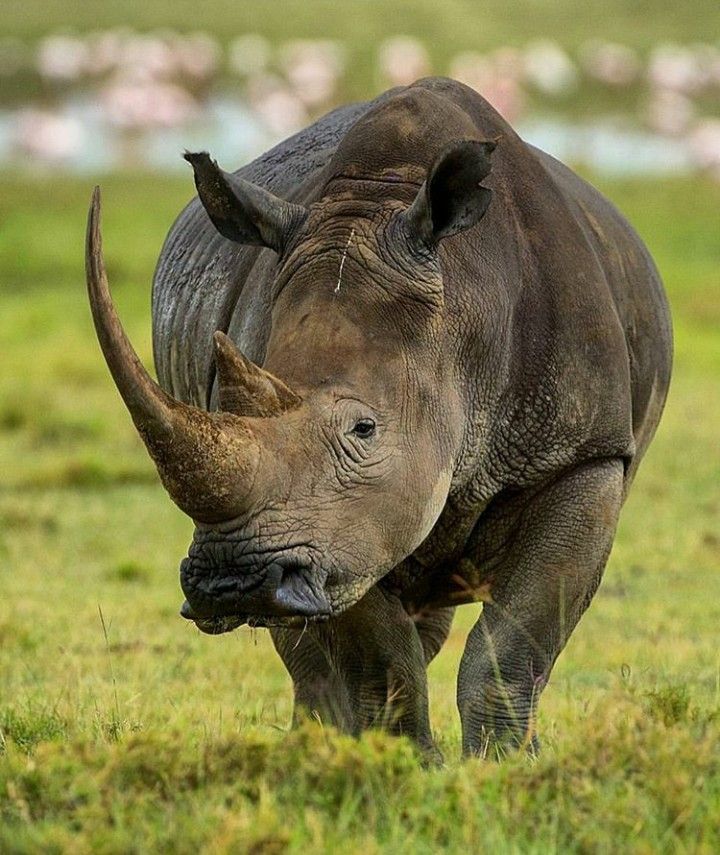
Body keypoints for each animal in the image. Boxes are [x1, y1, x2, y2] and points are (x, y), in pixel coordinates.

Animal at [86, 78, 672, 759]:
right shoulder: (336, 529)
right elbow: (380, 657)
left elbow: (513, 647)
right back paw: (317, 743)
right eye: (223, 401)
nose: (231, 583)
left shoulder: (587, 455)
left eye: (364, 430)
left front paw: (503, 767)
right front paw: (400, 766)